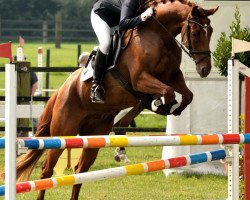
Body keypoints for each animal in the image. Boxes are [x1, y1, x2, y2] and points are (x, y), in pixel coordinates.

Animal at [14, 0, 218, 199]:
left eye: (211, 32)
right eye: (196, 33)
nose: (205, 69)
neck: (160, 35)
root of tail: (61, 90)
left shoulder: (173, 76)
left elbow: (187, 95)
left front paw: (171, 107)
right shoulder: (140, 79)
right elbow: (167, 92)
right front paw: (161, 105)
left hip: (94, 135)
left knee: (80, 171)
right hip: (64, 132)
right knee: (46, 171)